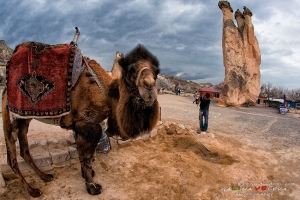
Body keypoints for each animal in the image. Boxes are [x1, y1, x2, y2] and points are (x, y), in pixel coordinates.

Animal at [1, 40, 159, 197]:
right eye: (131, 70)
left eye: (156, 71)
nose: (150, 86)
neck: (105, 92)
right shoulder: (88, 125)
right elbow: (86, 156)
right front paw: (92, 187)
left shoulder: (80, 126)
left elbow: (84, 154)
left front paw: (87, 175)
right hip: (9, 116)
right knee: (12, 158)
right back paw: (33, 190)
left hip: (23, 119)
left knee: (24, 150)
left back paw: (45, 176)